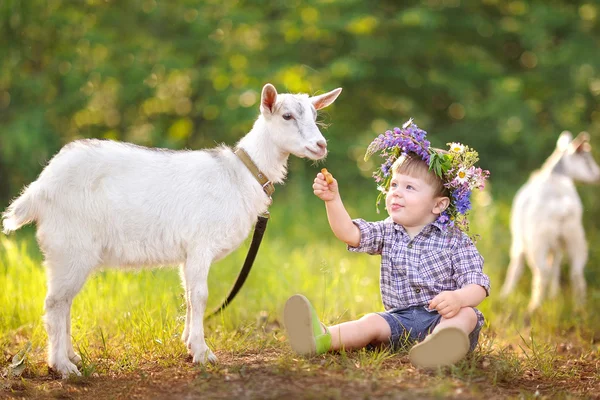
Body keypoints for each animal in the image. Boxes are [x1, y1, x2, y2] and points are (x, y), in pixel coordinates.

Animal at [1, 83, 342, 376]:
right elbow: (201, 296)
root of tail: (40, 188)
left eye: (315, 116)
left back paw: (71, 357)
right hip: (70, 244)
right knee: (55, 303)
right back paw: (62, 366)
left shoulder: (188, 254)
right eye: (287, 116)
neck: (241, 174)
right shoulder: (201, 244)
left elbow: (189, 297)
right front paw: (203, 353)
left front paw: (189, 345)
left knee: (64, 302)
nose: (321, 145)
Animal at [502, 131, 600, 312]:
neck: (554, 176)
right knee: (575, 271)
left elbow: (516, 267)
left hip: (538, 241)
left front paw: (504, 294)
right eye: (586, 159)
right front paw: (554, 295)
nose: (598, 176)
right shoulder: (557, 244)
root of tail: (561, 208)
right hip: (575, 237)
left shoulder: (519, 240)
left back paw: (534, 306)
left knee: (542, 271)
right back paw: (580, 306)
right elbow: (556, 265)